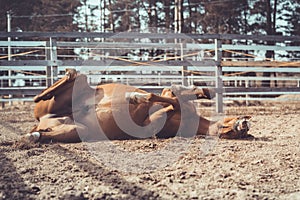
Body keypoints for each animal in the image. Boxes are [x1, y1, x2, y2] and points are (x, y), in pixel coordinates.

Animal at [25, 69, 251, 143]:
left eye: (240, 134)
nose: (245, 124)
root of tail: (40, 121)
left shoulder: (149, 125)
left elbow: (174, 102)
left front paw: (136, 97)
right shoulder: (167, 95)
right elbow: (178, 96)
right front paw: (135, 96)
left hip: (77, 130)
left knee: (41, 134)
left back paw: (33, 136)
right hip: (77, 88)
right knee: (67, 79)